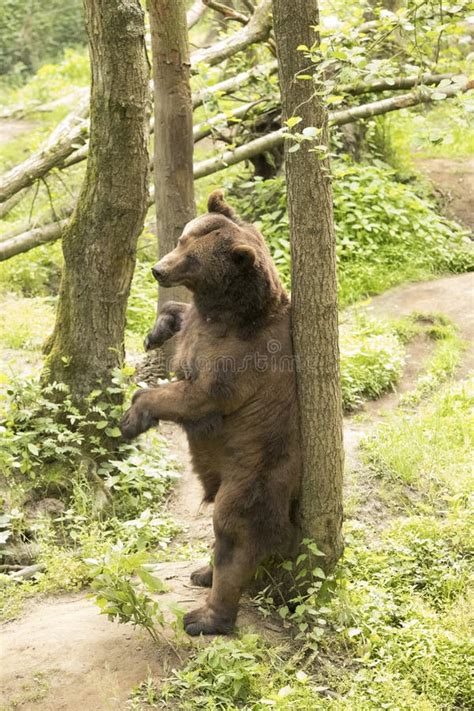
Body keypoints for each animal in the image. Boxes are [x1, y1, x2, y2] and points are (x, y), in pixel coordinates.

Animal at [121, 189, 300, 636]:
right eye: (182, 238)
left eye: (193, 258)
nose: (158, 269)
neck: (229, 311)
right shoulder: (202, 325)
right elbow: (181, 318)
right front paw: (156, 331)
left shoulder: (239, 359)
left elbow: (198, 395)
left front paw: (132, 418)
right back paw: (202, 572)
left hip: (255, 471)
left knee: (234, 532)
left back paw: (205, 615)